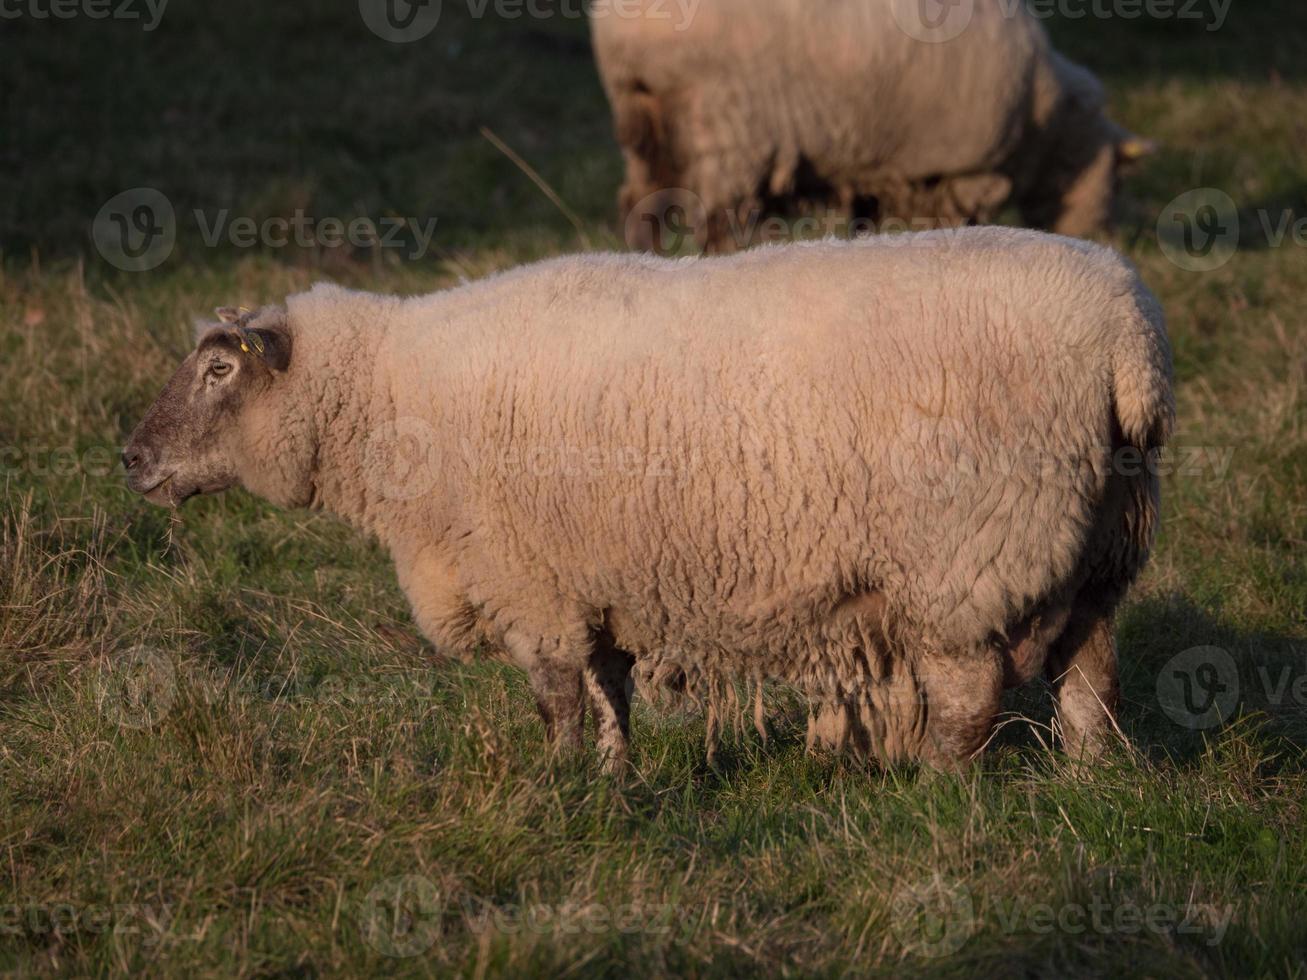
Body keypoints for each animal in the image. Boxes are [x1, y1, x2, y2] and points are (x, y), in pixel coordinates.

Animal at [122, 226, 1176, 773]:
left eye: (218, 369)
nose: (130, 457)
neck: (389, 396)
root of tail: (1128, 336)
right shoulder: (593, 574)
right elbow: (606, 689)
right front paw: (612, 779)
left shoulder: (528, 578)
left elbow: (554, 697)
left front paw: (553, 789)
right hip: (1099, 538)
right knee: (1090, 667)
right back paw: (1092, 779)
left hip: (965, 548)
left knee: (967, 693)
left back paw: (938, 789)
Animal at [593, 0, 1155, 254]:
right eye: (1117, 181)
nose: (1108, 240)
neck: (1047, 129)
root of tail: (625, 30)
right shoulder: (968, 172)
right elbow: (958, 223)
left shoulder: (872, 163)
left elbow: (866, 218)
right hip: (728, 121)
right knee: (719, 220)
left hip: (643, 121)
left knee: (639, 205)